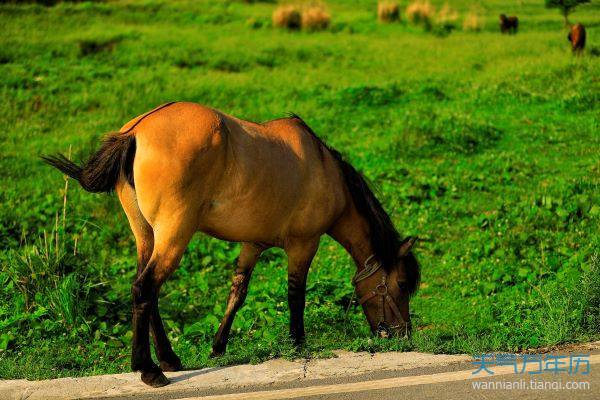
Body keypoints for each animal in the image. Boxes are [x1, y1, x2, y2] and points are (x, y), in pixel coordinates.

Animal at [42, 102, 420, 388]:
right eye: (401, 284)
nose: (403, 336)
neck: (323, 168)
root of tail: (135, 131)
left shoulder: (252, 244)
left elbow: (237, 293)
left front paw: (218, 347)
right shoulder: (303, 245)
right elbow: (295, 294)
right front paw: (297, 342)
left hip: (147, 237)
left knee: (147, 293)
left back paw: (168, 358)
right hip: (174, 235)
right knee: (145, 288)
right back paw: (149, 370)